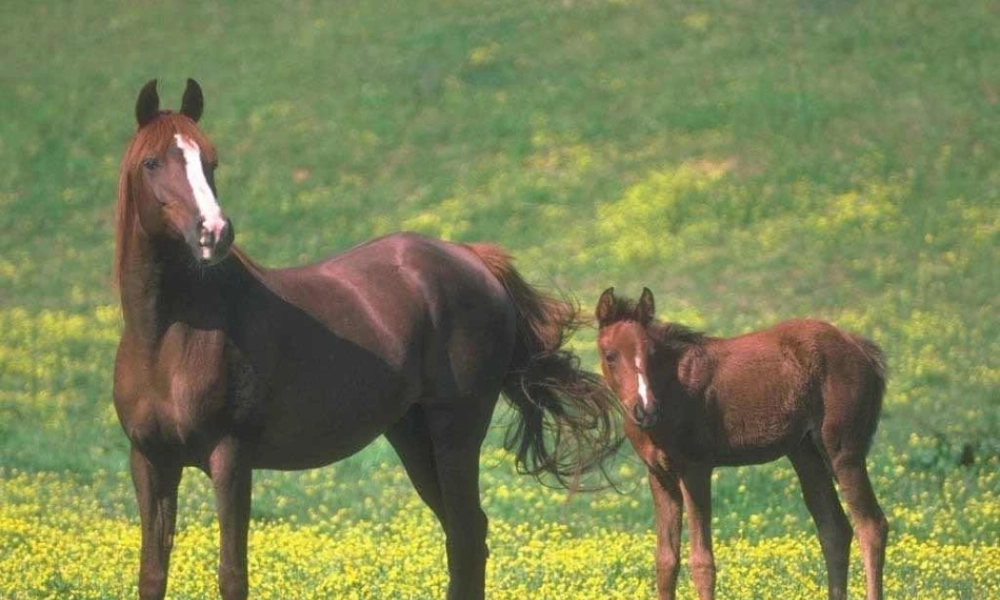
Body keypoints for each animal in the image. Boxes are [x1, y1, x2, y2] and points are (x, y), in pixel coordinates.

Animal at [112, 78, 622, 600]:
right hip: (412, 435)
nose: (214, 233)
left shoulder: (230, 459)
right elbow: (151, 575)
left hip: (456, 430)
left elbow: (232, 575)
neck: (169, 340)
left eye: (211, 161)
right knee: (463, 535)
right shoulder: (150, 462)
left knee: (466, 534)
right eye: (152, 162)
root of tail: (472, 258)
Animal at [594, 287, 889, 600]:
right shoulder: (660, 475)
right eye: (610, 355)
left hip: (843, 451)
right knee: (835, 530)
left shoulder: (695, 469)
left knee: (871, 526)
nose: (645, 410)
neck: (673, 389)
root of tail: (859, 346)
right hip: (806, 454)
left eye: (651, 354)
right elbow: (666, 561)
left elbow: (702, 562)